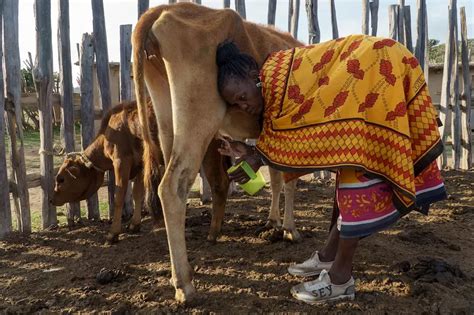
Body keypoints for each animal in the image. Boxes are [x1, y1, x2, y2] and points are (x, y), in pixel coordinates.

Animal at [132, 3, 304, 304]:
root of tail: (167, 8)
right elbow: (289, 179)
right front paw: (290, 229)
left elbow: (275, 177)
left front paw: (274, 222)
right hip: (200, 116)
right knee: (172, 186)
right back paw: (185, 284)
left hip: (166, 116)